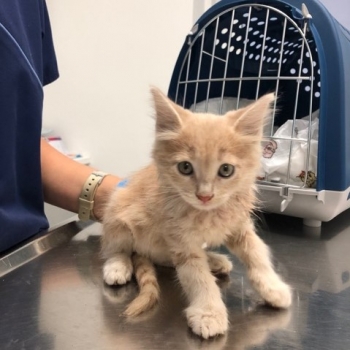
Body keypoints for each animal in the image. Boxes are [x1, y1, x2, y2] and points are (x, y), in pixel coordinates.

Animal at [100, 87, 292, 340]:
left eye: (226, 170)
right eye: (185, 167)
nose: (204, 196)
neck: (209, 213)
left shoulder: (241, 226)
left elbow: (258, 254)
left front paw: (273, 288)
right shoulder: (181, 242)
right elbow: (197, 276)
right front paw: (209, 313)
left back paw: (215, 260)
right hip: (118, 212)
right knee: (118, 248)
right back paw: (117, 266)